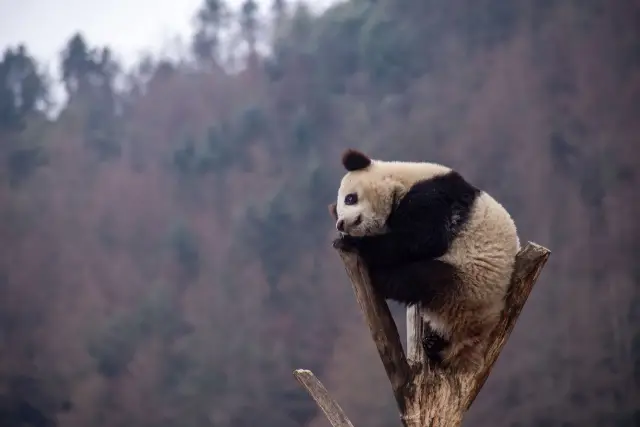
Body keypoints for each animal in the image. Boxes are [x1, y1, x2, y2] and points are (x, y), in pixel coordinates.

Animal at [330, 149, 520, 372]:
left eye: (350, 198)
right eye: (338, 210)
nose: (340, 223)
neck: (400, 181)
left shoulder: (434, 197)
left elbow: (423, 238)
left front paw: (351, 243)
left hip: (470, 283)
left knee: (420, 278)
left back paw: (380, 279)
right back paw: (433, 344)